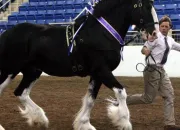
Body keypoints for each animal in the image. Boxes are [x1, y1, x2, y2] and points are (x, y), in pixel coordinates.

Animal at [0, 0, 158, 129]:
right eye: (145, 6)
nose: (154, 33)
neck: (102, 33)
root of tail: (5, 34)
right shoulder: (102, 70)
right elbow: (121, 92)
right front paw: (124, 122)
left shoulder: (96, 74)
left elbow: (90, 99)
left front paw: (84, 124)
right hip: (9, 70)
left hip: (32, 71)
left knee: (21, 93)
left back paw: (40, 119)